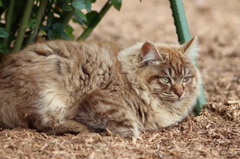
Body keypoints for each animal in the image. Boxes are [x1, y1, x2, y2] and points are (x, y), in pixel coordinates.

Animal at [0, 37, 202, 138]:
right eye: (165, 79)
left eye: (186, 78)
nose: (180, 92)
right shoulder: (98, 100)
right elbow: (130, 126)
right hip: (49, 93)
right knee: (45, 123)